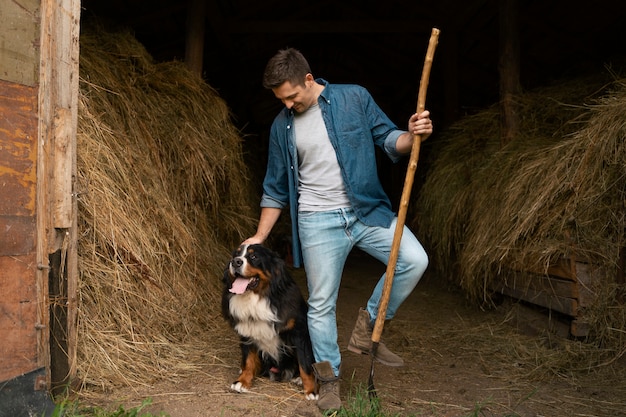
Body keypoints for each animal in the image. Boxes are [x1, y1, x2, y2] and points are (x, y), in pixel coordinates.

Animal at [219, 244, 316, 400]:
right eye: (236, 254)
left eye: (254, 256)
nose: (235, 262)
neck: (257, 298)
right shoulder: (247, 331)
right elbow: (248, 359)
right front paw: (243, 381)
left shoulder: (298, 333)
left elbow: (304, 363)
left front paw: (311, 390)